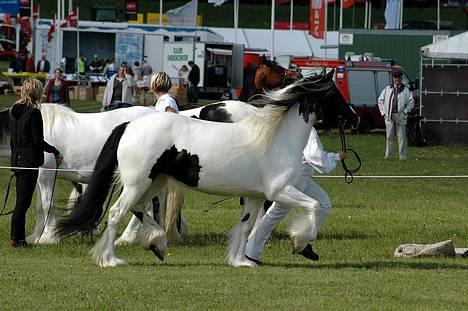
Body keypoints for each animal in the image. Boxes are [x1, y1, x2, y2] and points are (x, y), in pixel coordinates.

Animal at [57, 73, 358, 268]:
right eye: (335, 94)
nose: (354, 118)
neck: (276, 139)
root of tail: (129, 125)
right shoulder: (281, 191)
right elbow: (314, 207)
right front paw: (299, 242)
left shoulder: (256, 196)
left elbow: (246, 225)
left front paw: (240, 261)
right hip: (137, 183)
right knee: (117, 212)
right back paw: (110, 259)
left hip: (155, 182)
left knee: (139, 209)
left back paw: (158, 244)